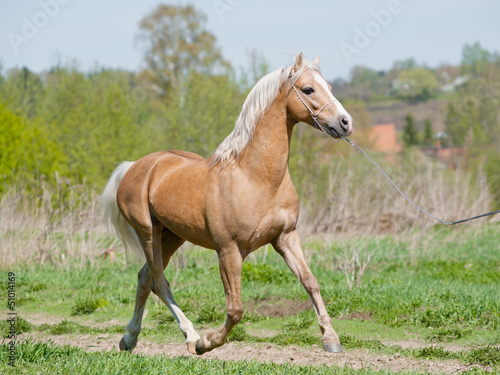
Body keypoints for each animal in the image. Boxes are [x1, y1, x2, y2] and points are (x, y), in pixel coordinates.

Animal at [100, 53, 352, 356]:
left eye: (329, 86)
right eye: (308, 89)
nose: (345, 122)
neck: (256, 177)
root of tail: (133, 167)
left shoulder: (285, 237)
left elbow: (310, 282)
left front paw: (331, 338)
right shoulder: (229, 251)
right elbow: (235, 309)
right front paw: (206, 343)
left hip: (172, 237)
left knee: (144, 280)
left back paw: (130, 339)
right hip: (148, 234)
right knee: (160, 282)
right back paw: (191, 337)